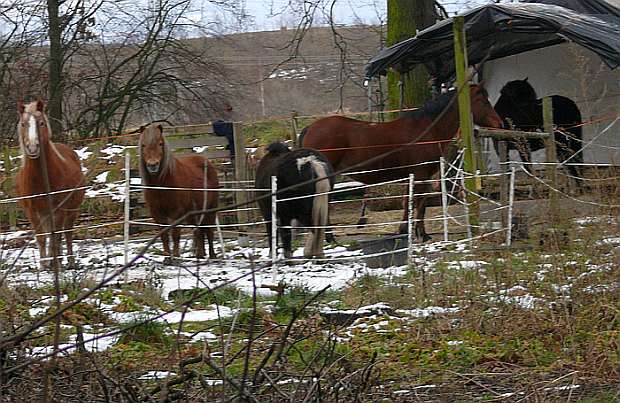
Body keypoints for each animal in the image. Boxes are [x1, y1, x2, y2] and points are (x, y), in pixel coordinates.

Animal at [15, 99, 85, 268]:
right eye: (23, 124)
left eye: (41, 123)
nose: (32, 147)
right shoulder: (32, 211)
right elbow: (41, 237)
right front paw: (43, 265)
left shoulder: (59, 210)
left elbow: (56, 237)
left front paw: (55, 263)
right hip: (45, 214)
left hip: (71, 210)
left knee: (67, 233)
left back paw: (69, 261)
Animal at [139, 123, 220, 260]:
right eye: (143, 145)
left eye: (160, 144)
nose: (152, 165)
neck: (162, 186)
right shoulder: (156, 213)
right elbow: (164, 235)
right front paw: (167, 257)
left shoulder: (177, 212)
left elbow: (175, 233)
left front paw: (176, 257)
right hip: (194, 212)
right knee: (199, 230)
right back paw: (200, 255)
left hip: (210, 209)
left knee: (209, 230)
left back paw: (212, 255)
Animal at [300, 83, 504, 241]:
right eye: (482, 100)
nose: (500, 124)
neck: (427, 129)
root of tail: (310, 127)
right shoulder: (421, 176)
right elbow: (420, 204)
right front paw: (422, 234)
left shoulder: (412, 176)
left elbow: (409, 202)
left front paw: (404, 231)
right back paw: (329, 237)